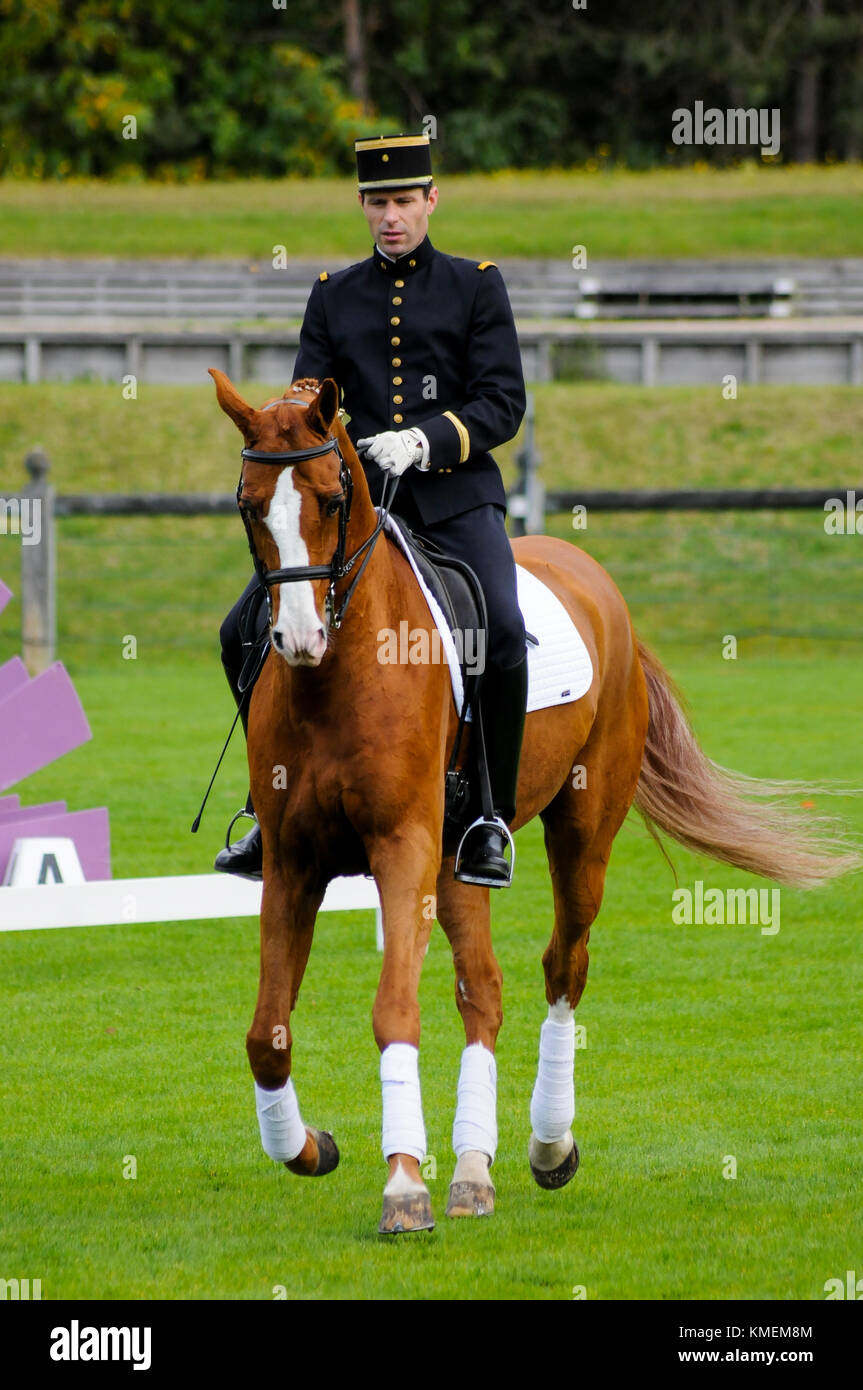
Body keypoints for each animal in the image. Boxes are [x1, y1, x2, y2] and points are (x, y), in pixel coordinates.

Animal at [209, 368, 860, 1234]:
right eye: (250, 505)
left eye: (330, 495)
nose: (298, 640)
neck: (340, 677)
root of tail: (590, 575)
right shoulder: (293, 862)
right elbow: (266, 1034)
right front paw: (311, 1148)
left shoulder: (401, 846)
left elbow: (394, 1010)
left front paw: (403, 1185)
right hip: (456, 862)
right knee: (483, 992)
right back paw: (471, 1168)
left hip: (579, 833)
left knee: (562, 966)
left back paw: (547, 1145)